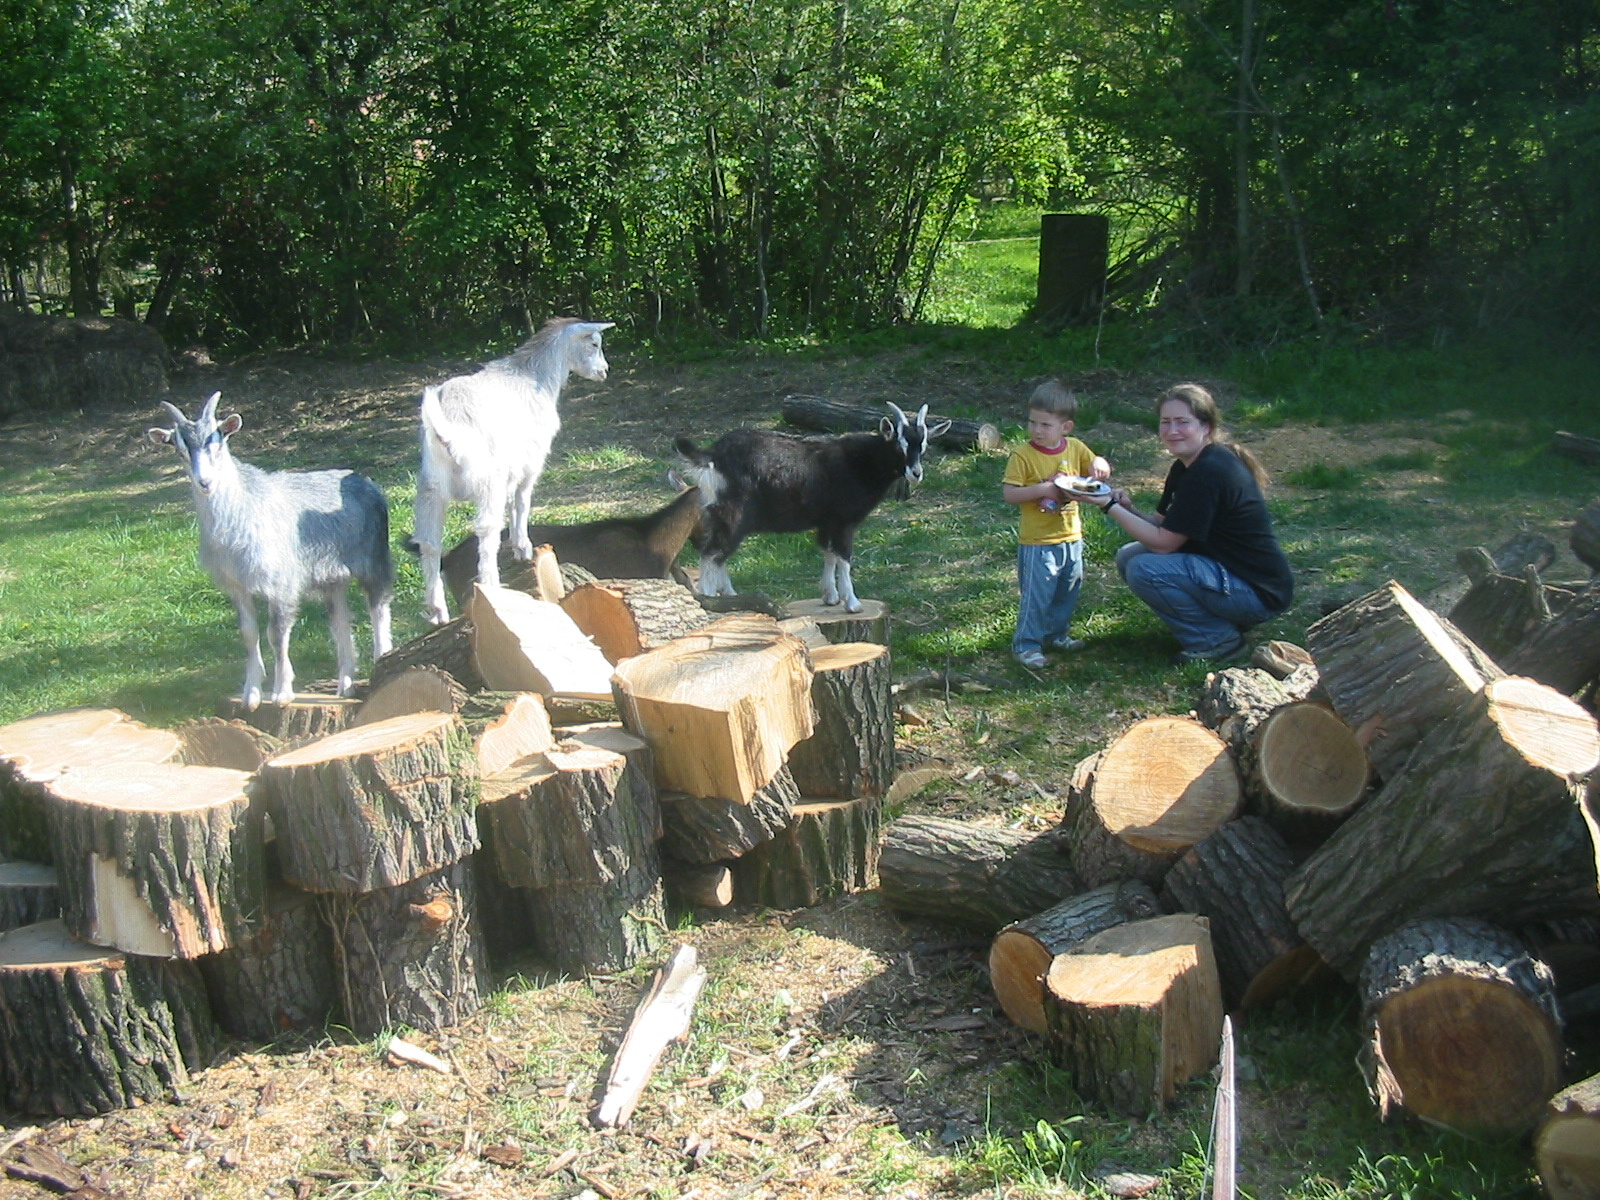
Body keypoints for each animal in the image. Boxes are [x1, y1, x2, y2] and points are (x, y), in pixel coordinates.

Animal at [148, 395, 395, 710]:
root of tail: (365, 481)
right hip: (333, 578)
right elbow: (248, 633)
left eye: (218, 440)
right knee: (340, 621)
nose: (205, 483)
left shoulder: (281, 584)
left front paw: (281, 693)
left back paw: (381, 660)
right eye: (179, 450)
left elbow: (276, 634)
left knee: (378, 606)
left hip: (373, 559)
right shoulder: (237, 586)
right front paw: (251, 694)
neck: (242, 511)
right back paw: (346, 685)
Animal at [412, 320, 611, 624]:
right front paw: (522, 547)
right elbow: (522, 501)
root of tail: (448, 427)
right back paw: (492, 587)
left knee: (429, 543)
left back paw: (438, 611)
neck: (535, 377)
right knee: (485, 529)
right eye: (594, 344)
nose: (604, 371)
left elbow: (512, 503)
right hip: (486, 480)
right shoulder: (531, 461)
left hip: (430, 487)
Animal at [675, 404, 947, 614]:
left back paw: (731, 597)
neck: (862, 462)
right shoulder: (844, 522)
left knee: (718, 556)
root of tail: (712, 456)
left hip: (719, 516)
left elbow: (828, 553)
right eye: (900, 445)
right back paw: (712, 600)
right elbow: (844, 558)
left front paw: (830, 597)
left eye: (923, 445)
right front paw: (852, 603)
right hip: (733, 515)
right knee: (711, 554)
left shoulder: (828, 522)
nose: (915, 473)